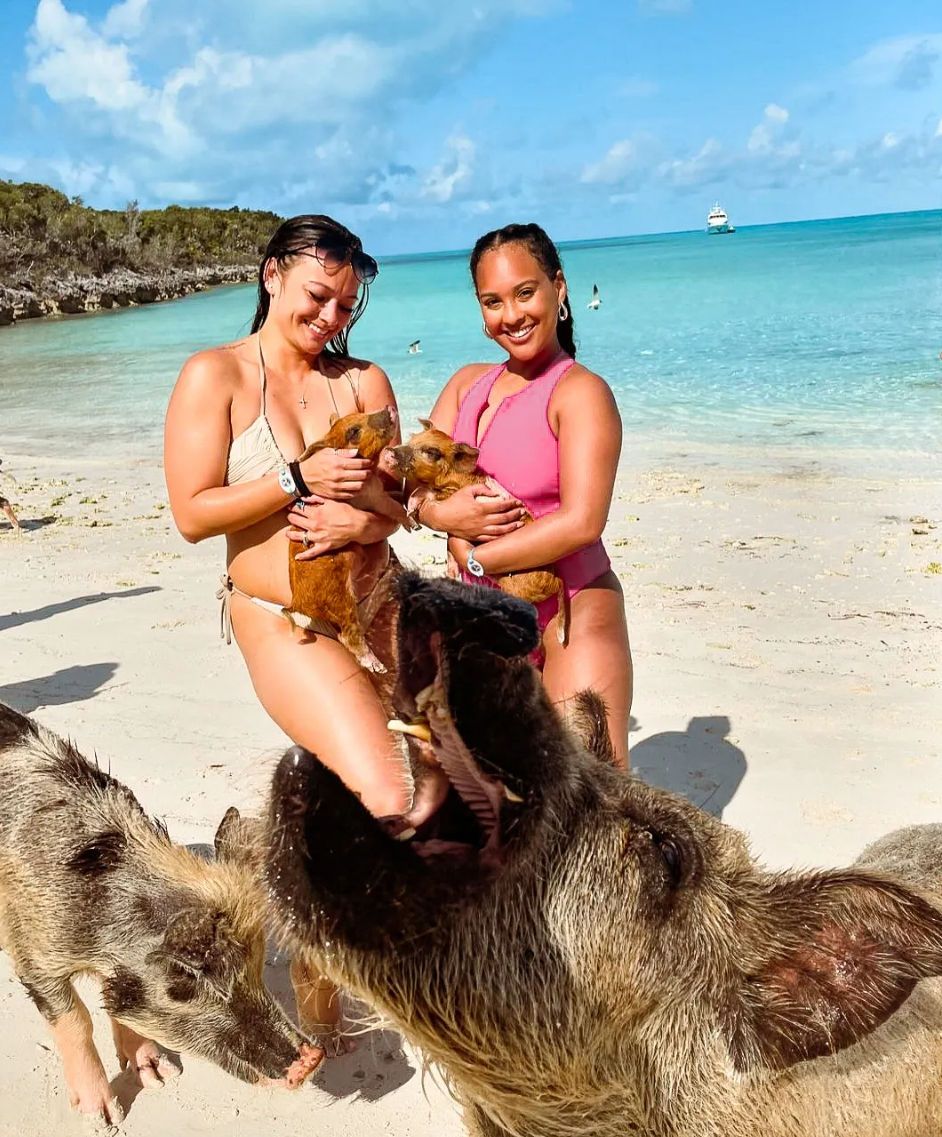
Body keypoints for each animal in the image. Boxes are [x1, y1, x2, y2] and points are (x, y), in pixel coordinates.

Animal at [0, 702, 323, 1128]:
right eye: (182, 983)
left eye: (257, 966)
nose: (311, 1059)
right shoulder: (34, 955)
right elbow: (76, 1020)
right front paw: (107, 1120)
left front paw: (159, 1078)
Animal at [285, 406, 405, 672]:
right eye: (353, 431)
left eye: (360, 413)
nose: (389, 408)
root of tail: (297, 603)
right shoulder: (372, 496)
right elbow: (393, 506)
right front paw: (412, 523)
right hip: (340, 593)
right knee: (348, 633)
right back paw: (377, 666)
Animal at [388, 421, 569, 643]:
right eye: (412, 439)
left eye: (431, 452)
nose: (390, 451)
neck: (453, 478)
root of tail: (555, 580)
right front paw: (413, 519)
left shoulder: (451, 493)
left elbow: (424, 491)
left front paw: (413, 511)